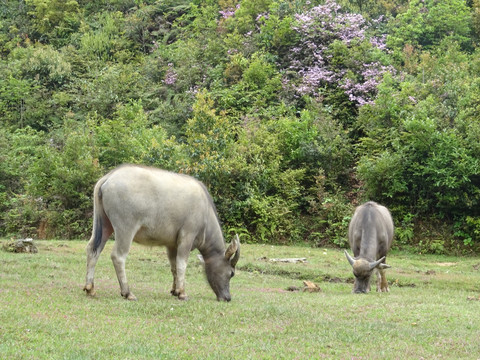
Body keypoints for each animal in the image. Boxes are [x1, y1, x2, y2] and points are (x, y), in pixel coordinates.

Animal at [84, 165, 240, 302]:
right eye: (231, 273)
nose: (227, 298)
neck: (205, 213)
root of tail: (108, 177)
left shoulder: (172, 245)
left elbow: (174, 266)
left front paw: (175, 290)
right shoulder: (187, 237)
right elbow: (182, 264)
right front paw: (182, 293)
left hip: (104, 224)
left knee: (93, 249)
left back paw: (90, 288)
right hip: (125, 229)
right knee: (118, 256)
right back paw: (127, 292)